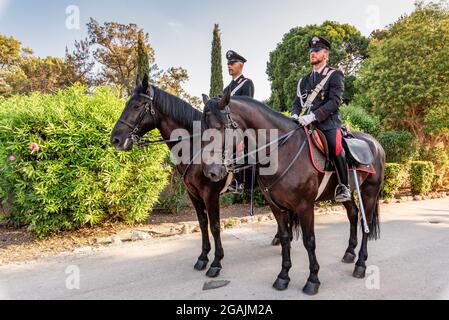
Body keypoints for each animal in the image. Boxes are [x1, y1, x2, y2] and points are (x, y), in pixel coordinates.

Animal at [201, 90, 384, 296]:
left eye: (219, 128)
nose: (210, 172)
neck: (281, 151)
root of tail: (375, 143)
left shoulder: (305, 206)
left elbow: (309, 241)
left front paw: (313, 280)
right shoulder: (277, 207)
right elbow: (285, 238)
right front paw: (283, 276)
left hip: (369, 193)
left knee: (365, 222)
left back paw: (360, 263)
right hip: (347, 192)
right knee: (353, 214)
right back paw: (349, 253)